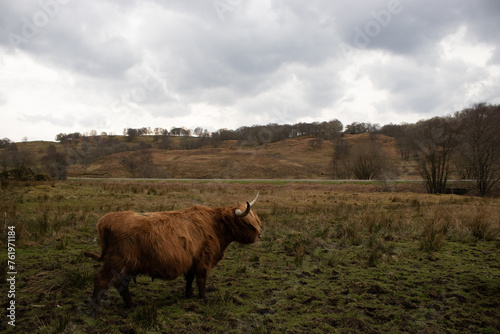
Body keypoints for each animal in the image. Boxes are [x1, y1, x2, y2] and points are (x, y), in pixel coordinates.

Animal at [84, 193, 262, 310]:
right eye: (246, 223)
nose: (260, 235)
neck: (215, 226)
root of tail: (104, 221)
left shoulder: (191, 259)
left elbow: (190, 278)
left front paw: (189, 294)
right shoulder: (203, 259)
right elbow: (201, 280)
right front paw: (204, 297)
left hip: (126, 264)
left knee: (121, 283)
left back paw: (132, 304)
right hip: (118, 260)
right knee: (102, 279)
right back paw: (95, 306)